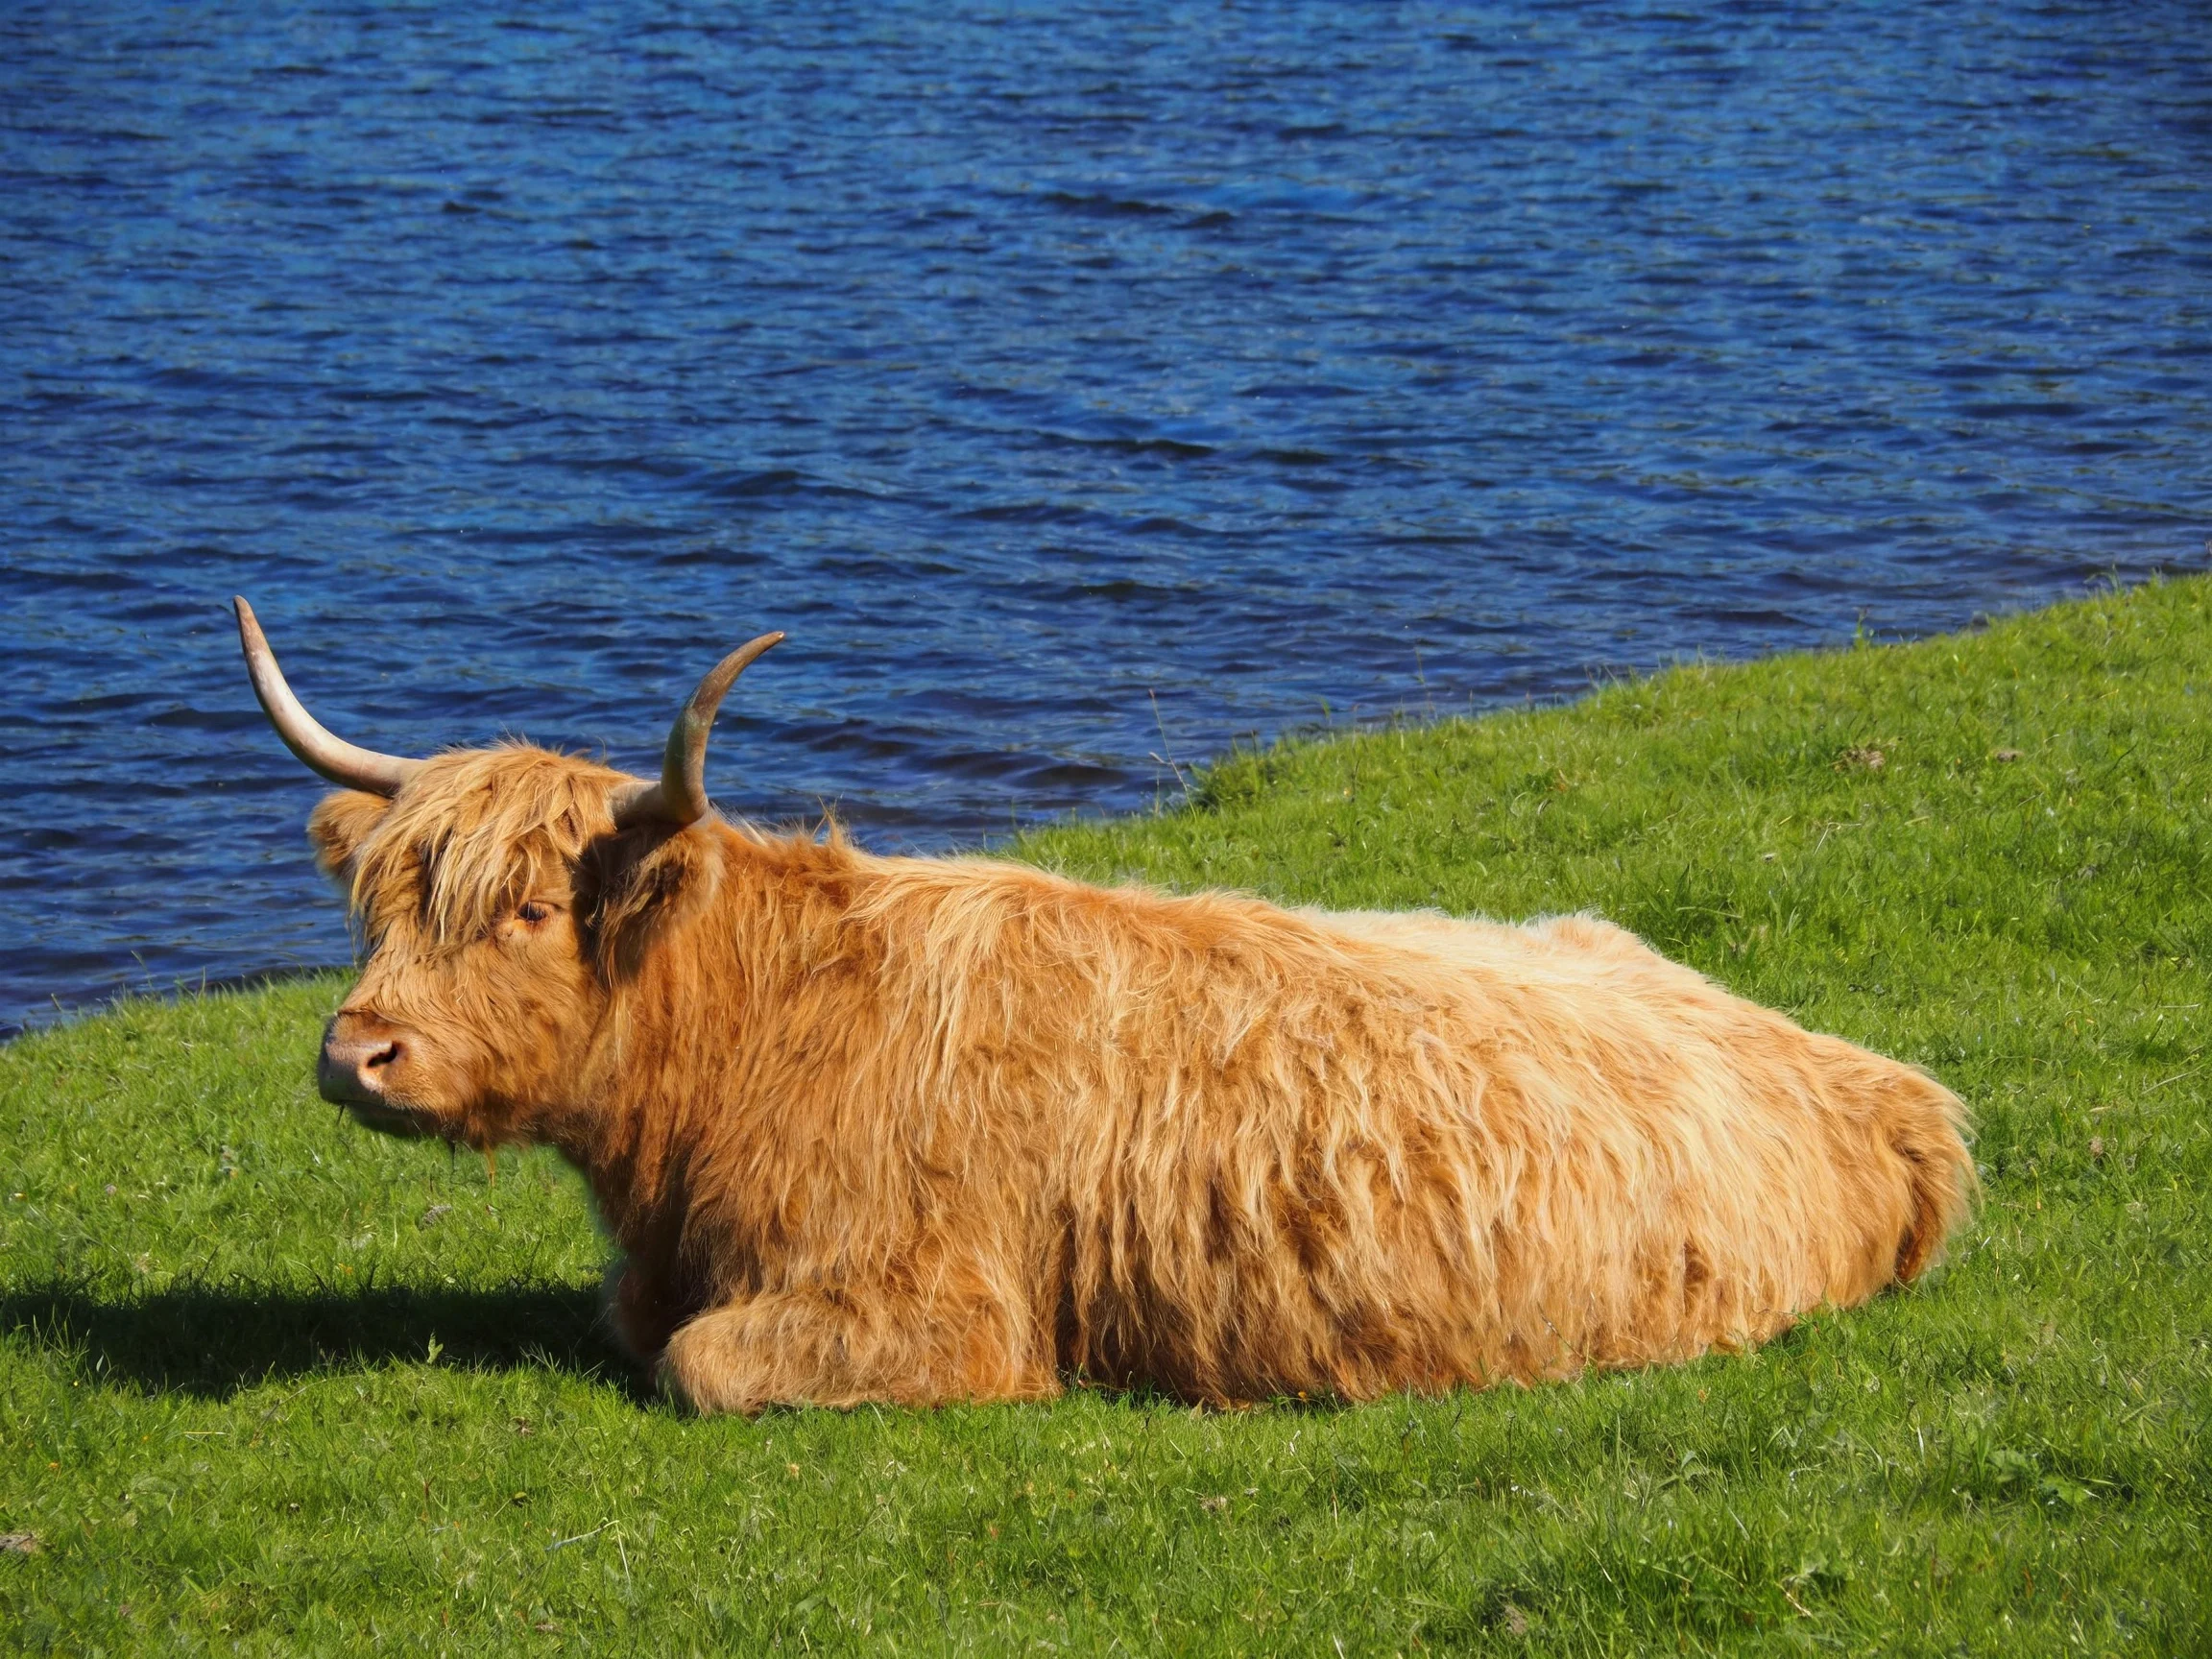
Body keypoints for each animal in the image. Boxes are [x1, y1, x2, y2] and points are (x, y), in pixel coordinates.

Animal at [234, 597, 1972, 1413]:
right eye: (378, 901)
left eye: (529, 908)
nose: (353, 1050)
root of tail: (1884, 1087)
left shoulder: (934, 1306)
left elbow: (698, 1363)